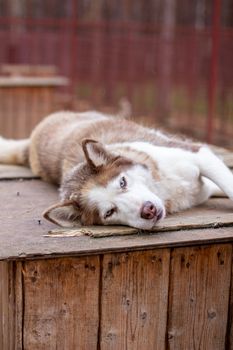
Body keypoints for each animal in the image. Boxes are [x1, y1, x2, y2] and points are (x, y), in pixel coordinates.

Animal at [0, 110, 233, 230]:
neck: (165, 191)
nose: (148, 210)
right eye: (109, 212)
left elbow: (227, 183)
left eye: (123, 182)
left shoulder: (200, 155)